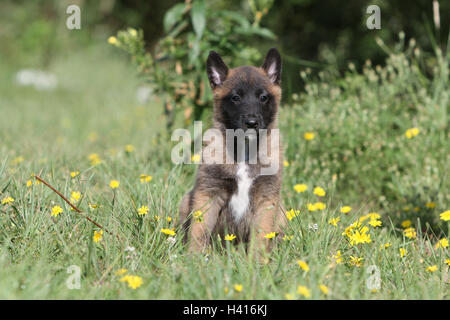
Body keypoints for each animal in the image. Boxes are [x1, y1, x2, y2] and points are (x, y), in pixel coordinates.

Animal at [178, 48, 284, 252]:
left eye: (263, 97)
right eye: (236, 98)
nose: (251, 122)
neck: (244, 150)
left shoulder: (266, 200)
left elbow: (261, 237)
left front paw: (257, 260)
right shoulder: (208, 195)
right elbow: (198, 232)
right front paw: (194, 258)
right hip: (187, 200)